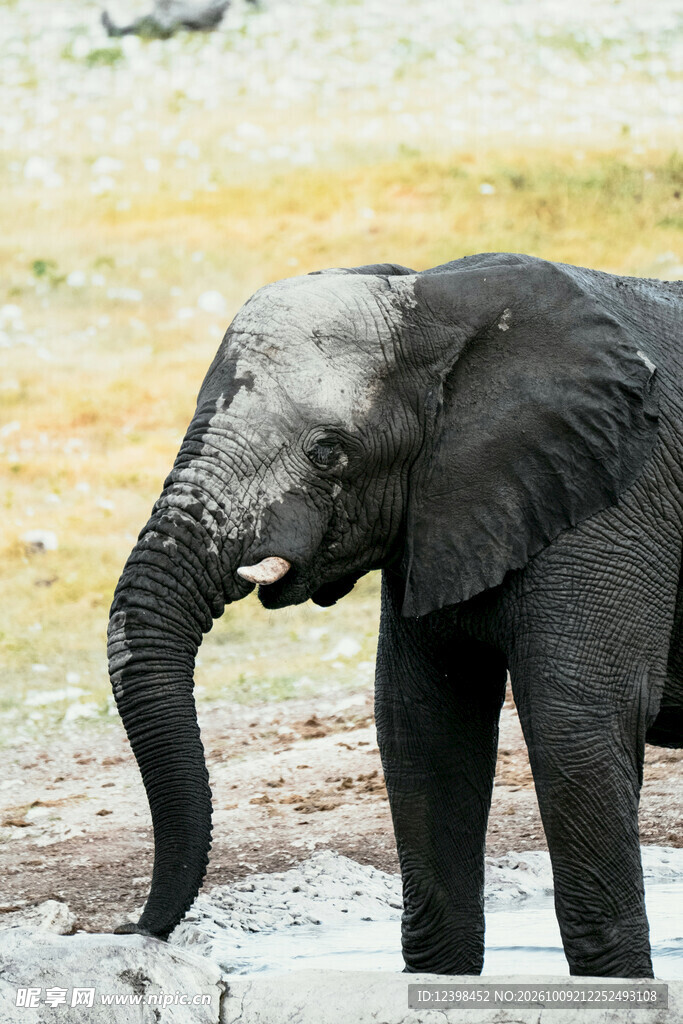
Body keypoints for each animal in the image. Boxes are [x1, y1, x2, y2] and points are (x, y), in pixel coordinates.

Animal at [107, 252, 683, 979]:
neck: (438, 301)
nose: (131, 928)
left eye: (327, 451)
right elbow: (424, 725)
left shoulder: (617, 494)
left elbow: (573, 720)